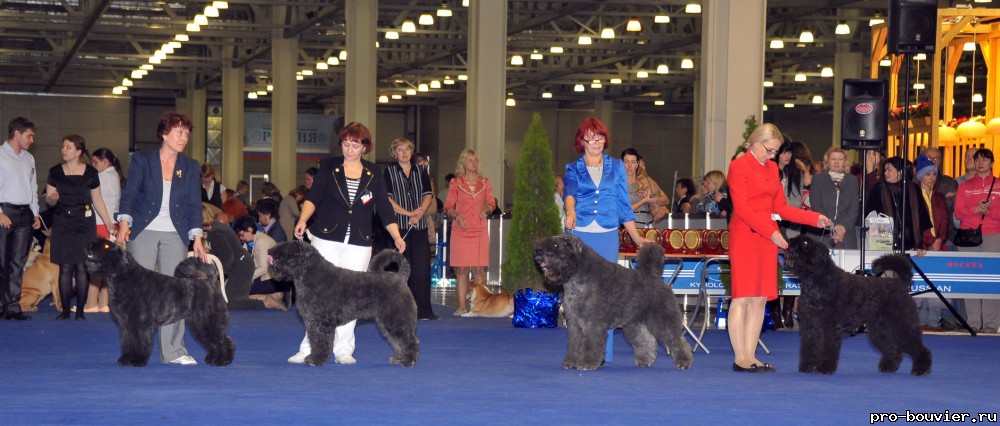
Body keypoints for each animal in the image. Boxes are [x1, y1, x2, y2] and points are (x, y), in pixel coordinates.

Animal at [84, 240, 236, 366]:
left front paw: (137, 360)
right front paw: (126, 359)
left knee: (224, 340)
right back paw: (212, 358)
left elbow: (139, 341)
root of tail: (210, 281)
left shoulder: (139, 323)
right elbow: (128, 342)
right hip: (199, 324)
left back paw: (223, 360)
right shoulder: (126, 324)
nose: (89, 245)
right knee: (213, 341)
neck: (125, 276)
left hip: (209, 320)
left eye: (106, 246)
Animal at [266, 241, 418, 368]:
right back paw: (399, 358)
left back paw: (408, 360)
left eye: (287, 249)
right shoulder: (311, 322)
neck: (309, 275)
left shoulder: (322, 323)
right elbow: (314, 341)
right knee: (397, 342)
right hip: (386, 322)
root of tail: (400, 278)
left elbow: (321, 342)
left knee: (409, 340)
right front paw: (313, 357)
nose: (270, 252)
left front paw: (317, 360)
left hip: (395, 319)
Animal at [536, 235, 692, 372]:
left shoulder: (591, 323)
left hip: (661, 319)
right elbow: (574, 343)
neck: (577, 275)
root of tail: (654, 275)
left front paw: (587, 363)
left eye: (556, 245)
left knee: (676, 339)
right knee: (645, 340)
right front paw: (571, 362)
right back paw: (645, 360)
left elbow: (590, 344)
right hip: (634, 324)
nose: (537, 250)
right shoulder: (575, 323)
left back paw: (683, 362)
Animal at [784, 236, 932, 376]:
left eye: (805, 243)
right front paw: (807, 367)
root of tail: (900, 283)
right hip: (880, 329)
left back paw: (920, 369)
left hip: (902, 324)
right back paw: (888, 367)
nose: (789, 243)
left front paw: (824, 368)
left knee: (919, 348)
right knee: (893, 348)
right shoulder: (810, 326)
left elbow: (826, 347)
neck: (816, 279)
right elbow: (809, 347)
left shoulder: (828, 326)